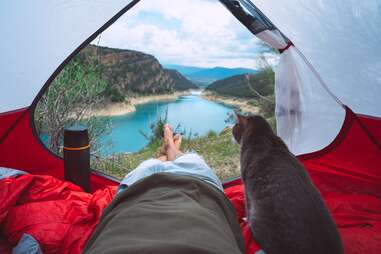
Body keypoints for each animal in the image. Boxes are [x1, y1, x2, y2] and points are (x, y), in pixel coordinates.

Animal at [230, 113, 342, 254]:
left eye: (235, 126)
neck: (263, 135)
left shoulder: (246, 186)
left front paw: (245, 219)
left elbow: (247, 205)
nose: (231, 130)